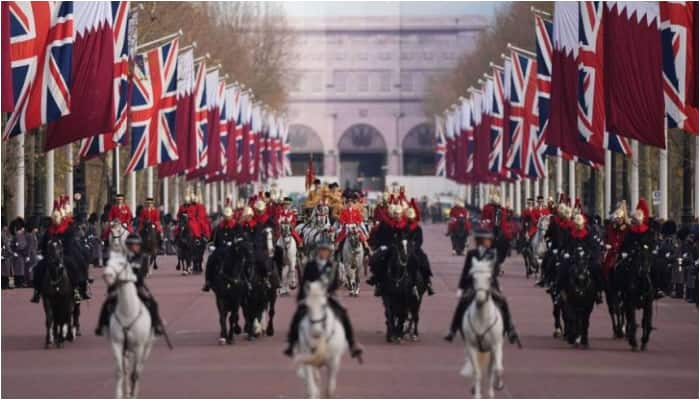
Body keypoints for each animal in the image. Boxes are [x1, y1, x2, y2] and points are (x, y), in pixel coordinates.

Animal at [102, 252, 153, 398]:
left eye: (121, 263)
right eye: (107, 261)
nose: (107, 275)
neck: (128, 312)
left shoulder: (139, 346)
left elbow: (135, 374)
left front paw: (134, 395)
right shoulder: (117, 344)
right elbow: (120, 371)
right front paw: (120, 394)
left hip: (146, 347)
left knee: (138, 369)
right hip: (127, 349)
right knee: (127, 368)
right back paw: (127, 391)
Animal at [460, 258, 504, 398]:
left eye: (489, 278)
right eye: (473, 278)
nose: (480, 299)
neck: (482, 318)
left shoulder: (495, 345)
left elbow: (498, 369)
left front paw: (498, 385)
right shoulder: (471, 347)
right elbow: (477, 372)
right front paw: (477, 394)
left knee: (492, 369)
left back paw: (491, 391)